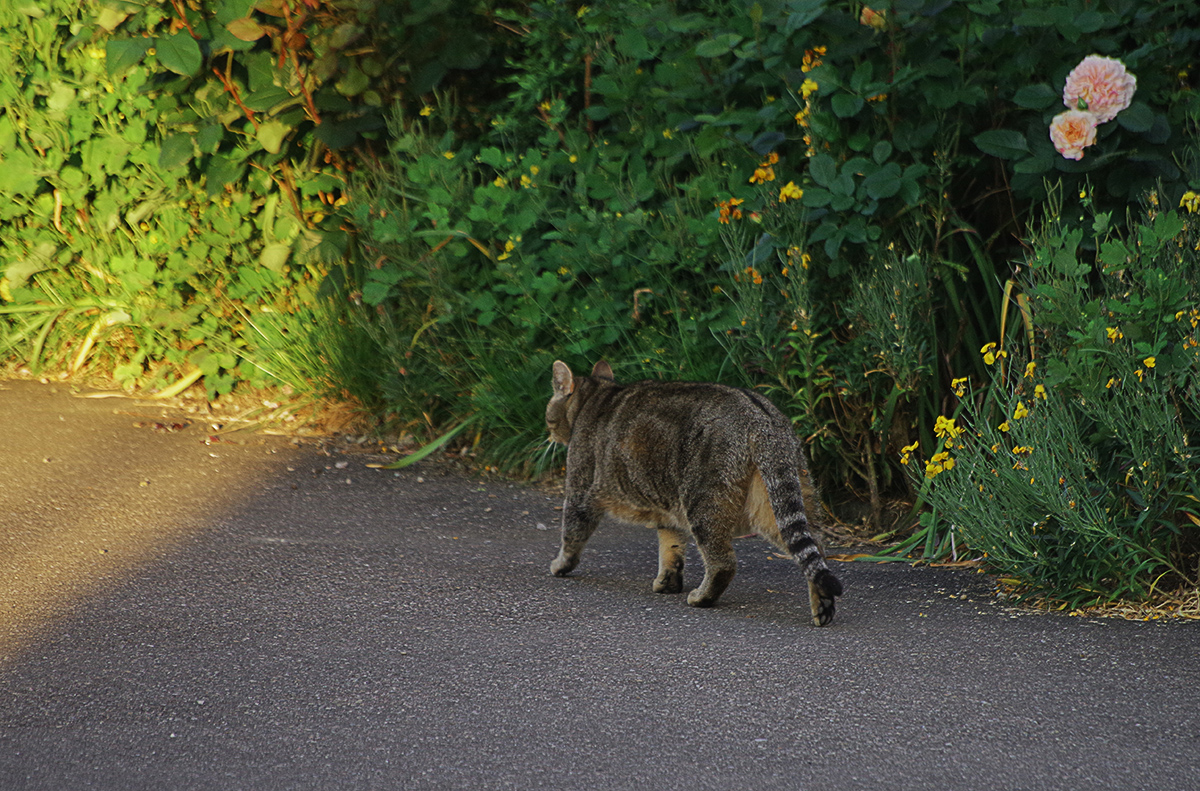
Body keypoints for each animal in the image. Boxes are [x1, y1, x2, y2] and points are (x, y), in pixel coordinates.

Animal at [547, 360, 844, 624]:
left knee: (724, 563)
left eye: (549, 417)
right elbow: (671, 548)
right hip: (778, 501)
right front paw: (668, 581)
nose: (549, 436)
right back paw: (822, 604)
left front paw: (560, 564)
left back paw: (702, 597)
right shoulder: (666, 509)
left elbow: (571, 534)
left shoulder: (580, 491)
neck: (596, 396)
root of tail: (762, 418)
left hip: (704, 503)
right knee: (814, 549)